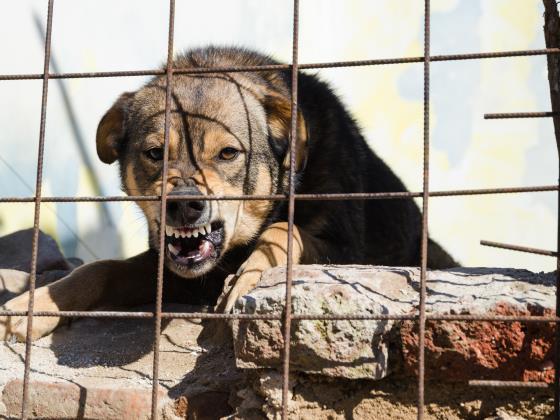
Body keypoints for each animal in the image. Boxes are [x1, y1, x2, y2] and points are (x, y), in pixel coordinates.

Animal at [0, 46, 458, 342]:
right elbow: (100, 269)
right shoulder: (173, 274)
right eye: (154, 153)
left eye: (227, 153)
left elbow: (284, 231)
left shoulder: (347, 251)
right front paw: (37, 303)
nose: (183, 205)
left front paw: (247, 277)